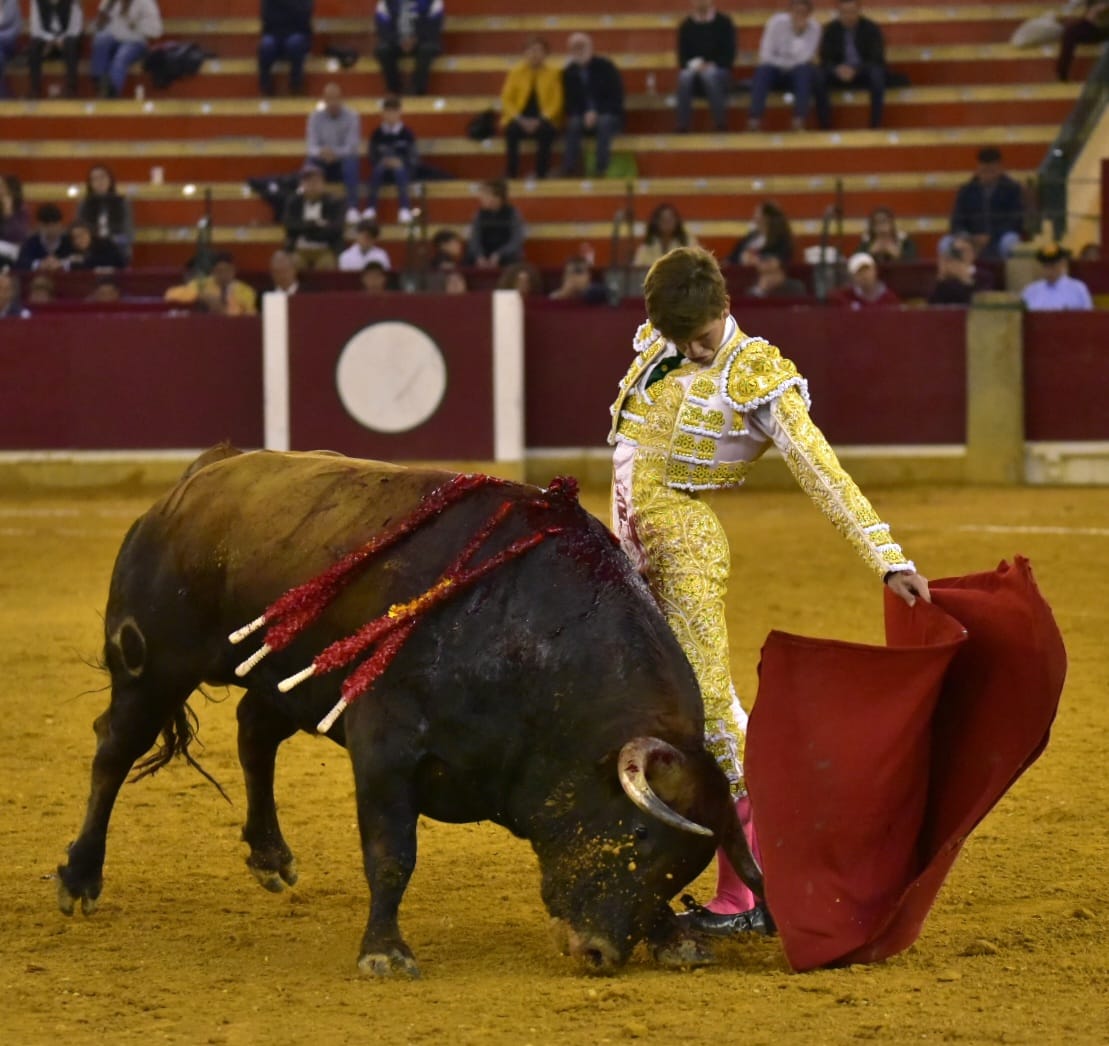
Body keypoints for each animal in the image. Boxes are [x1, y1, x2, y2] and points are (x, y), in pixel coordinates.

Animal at [57, 446, 761, 976]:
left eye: (683, 865)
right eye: (637, 837)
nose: (598, 953)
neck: (529, 641)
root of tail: (197, 478)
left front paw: (674, 938)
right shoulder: (384, 747)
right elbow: (392, 851)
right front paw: (385, 953)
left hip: (290, 679)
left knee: (254, 734)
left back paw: (270, 856)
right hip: (151, 668)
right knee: (114, 752)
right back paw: (79, 879)